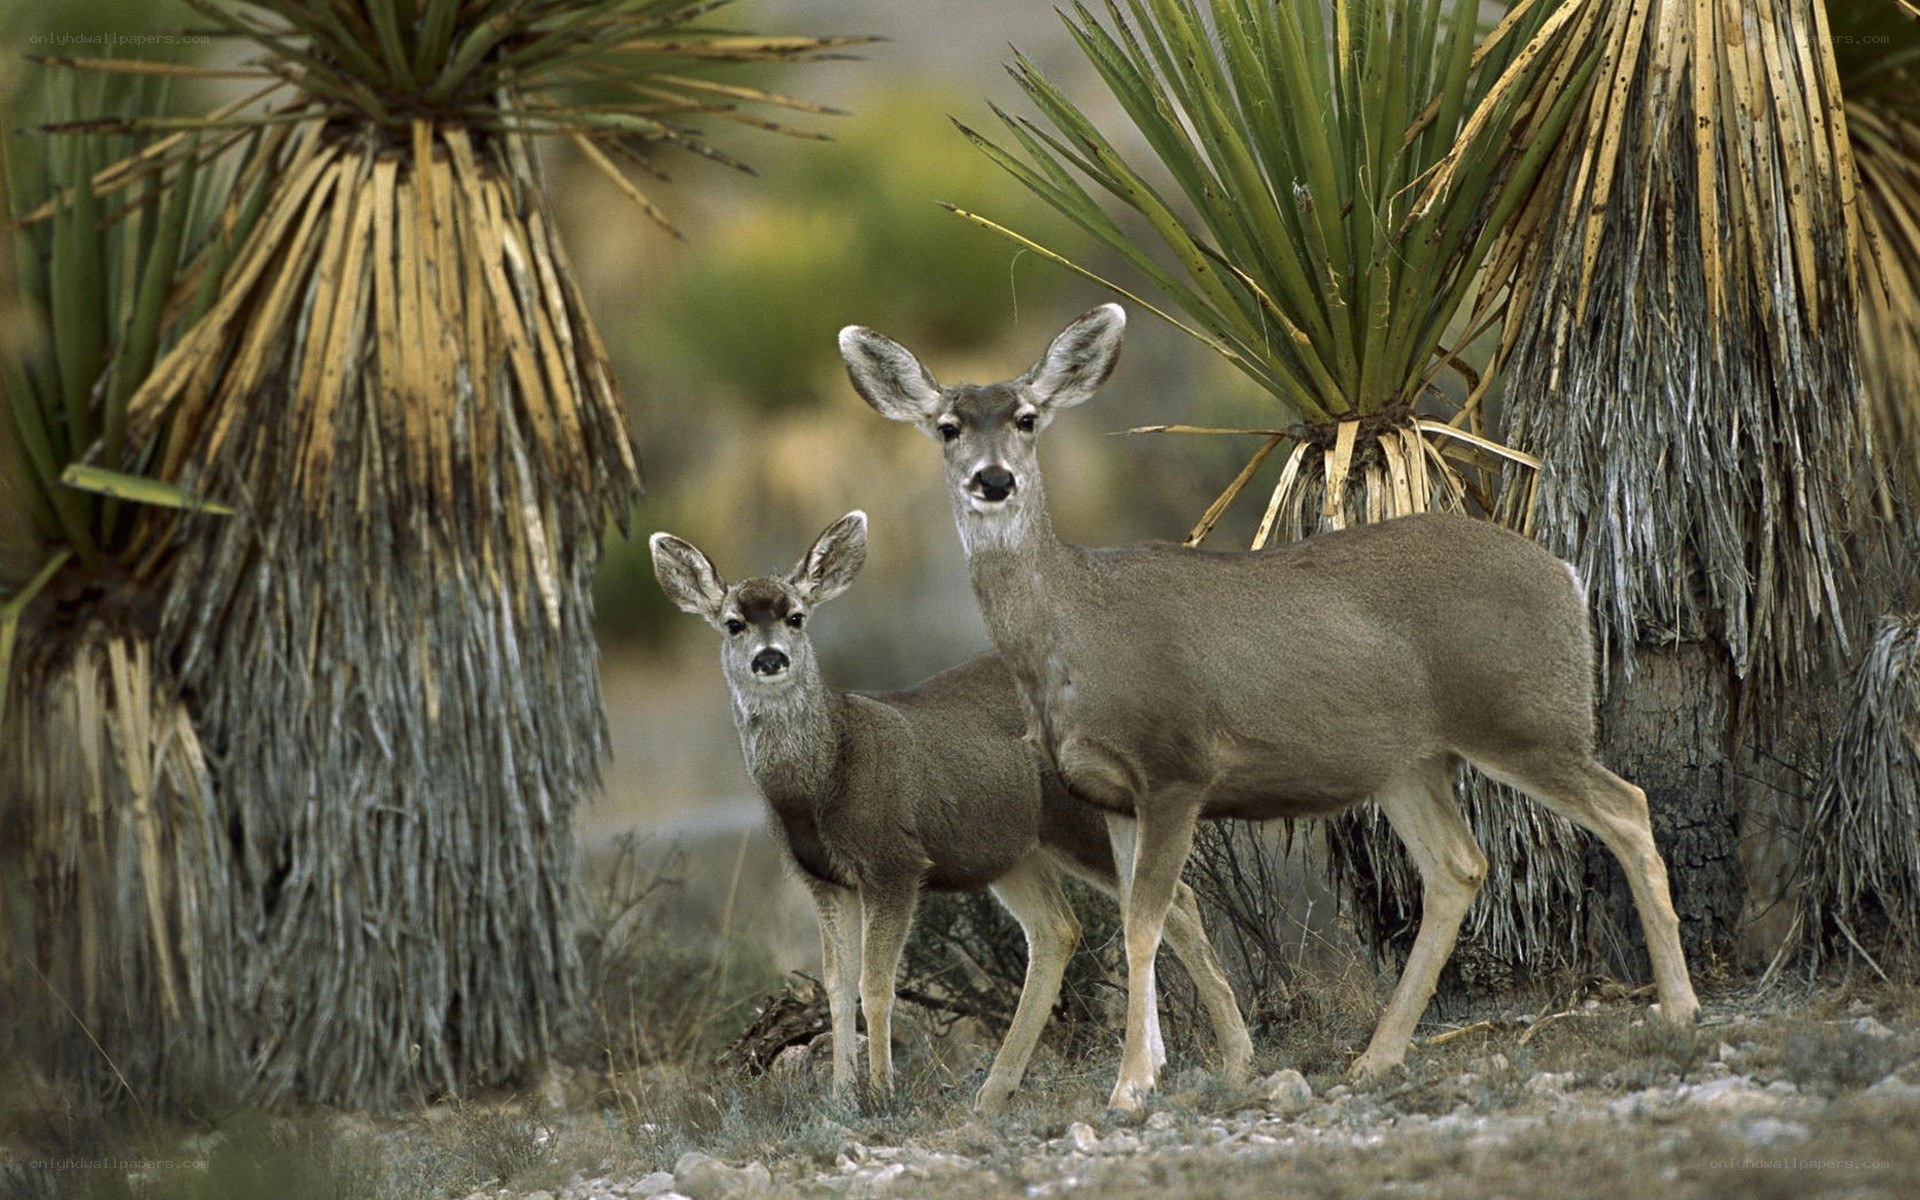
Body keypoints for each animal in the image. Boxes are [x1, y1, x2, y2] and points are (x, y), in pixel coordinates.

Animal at [648, 511, 1253, 1112]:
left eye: (796, 617)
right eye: (732, 623)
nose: (770, 658)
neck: (824, 777)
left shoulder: (894, 862)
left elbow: (875, 985)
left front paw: (881, 1092)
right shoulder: (823, 880)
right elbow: (836, 986)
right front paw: (842, 1097)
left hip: (1082, 820)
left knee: (1173, 899)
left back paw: (1232, 1058)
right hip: (1011, 850)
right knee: (1059, 928)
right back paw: (998, 1089)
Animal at [840, 304, 1702, 1112]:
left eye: (1025, 417)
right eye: (948, 427)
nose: (993, 480)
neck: (1077, 632)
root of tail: (1566, 574)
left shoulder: (1177, 765)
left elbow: (1145, 921)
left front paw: (1130, 1085)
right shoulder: (1110, 792)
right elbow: (1155, 918)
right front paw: (1177, 1068)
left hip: (1524, 716)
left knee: (1626, 807)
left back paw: (1680, 1009)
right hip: (1409, 761)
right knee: (1459, 867)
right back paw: (1377, 1056)